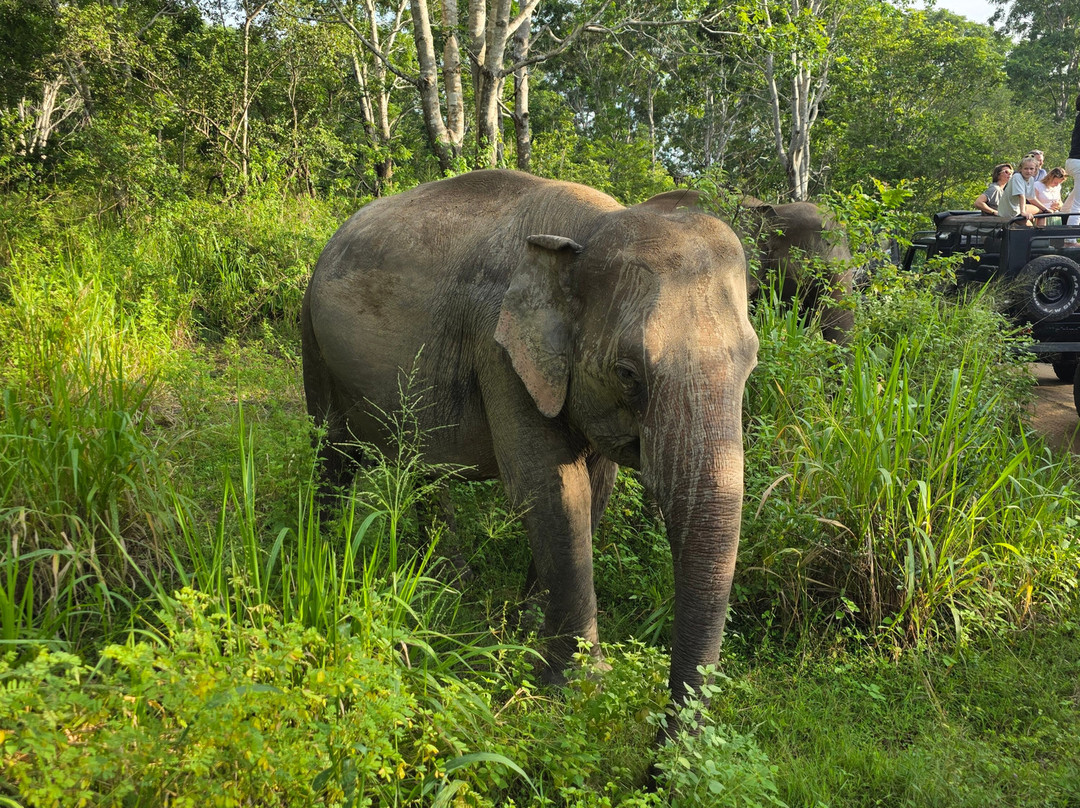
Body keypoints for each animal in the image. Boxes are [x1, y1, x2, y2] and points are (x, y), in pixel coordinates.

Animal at [301, 169, 758, 724]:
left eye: (752, 364)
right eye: (628, 374)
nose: (659, 750)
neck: (590, 229)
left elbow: (594, 490)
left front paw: (524, 630)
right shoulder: (499, 349)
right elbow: (553, 491)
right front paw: (577, 686)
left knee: (424, 466)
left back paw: (451, 579)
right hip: (313, 336)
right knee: (334, 451)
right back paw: (326, 547)